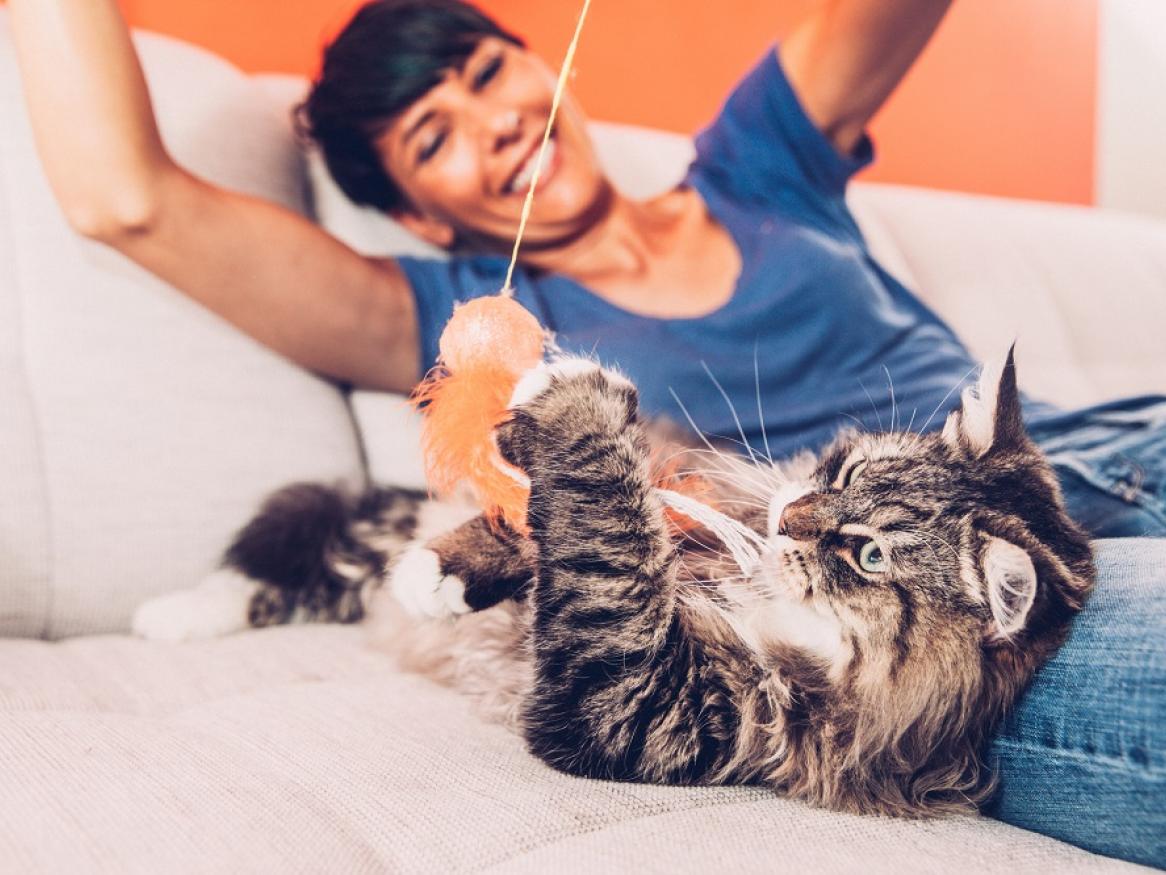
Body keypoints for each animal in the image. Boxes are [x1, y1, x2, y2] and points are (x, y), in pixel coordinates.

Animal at [134, 352, 1091, 821]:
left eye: (869, 557)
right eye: (844, 470)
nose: (791, 515)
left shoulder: (647, 706)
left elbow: (607, 549)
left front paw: (578, 409)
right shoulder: (699, 511)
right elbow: (593, 522)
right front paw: (448, 569)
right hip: (357, 534)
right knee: (285, 552)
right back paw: (174, 613)